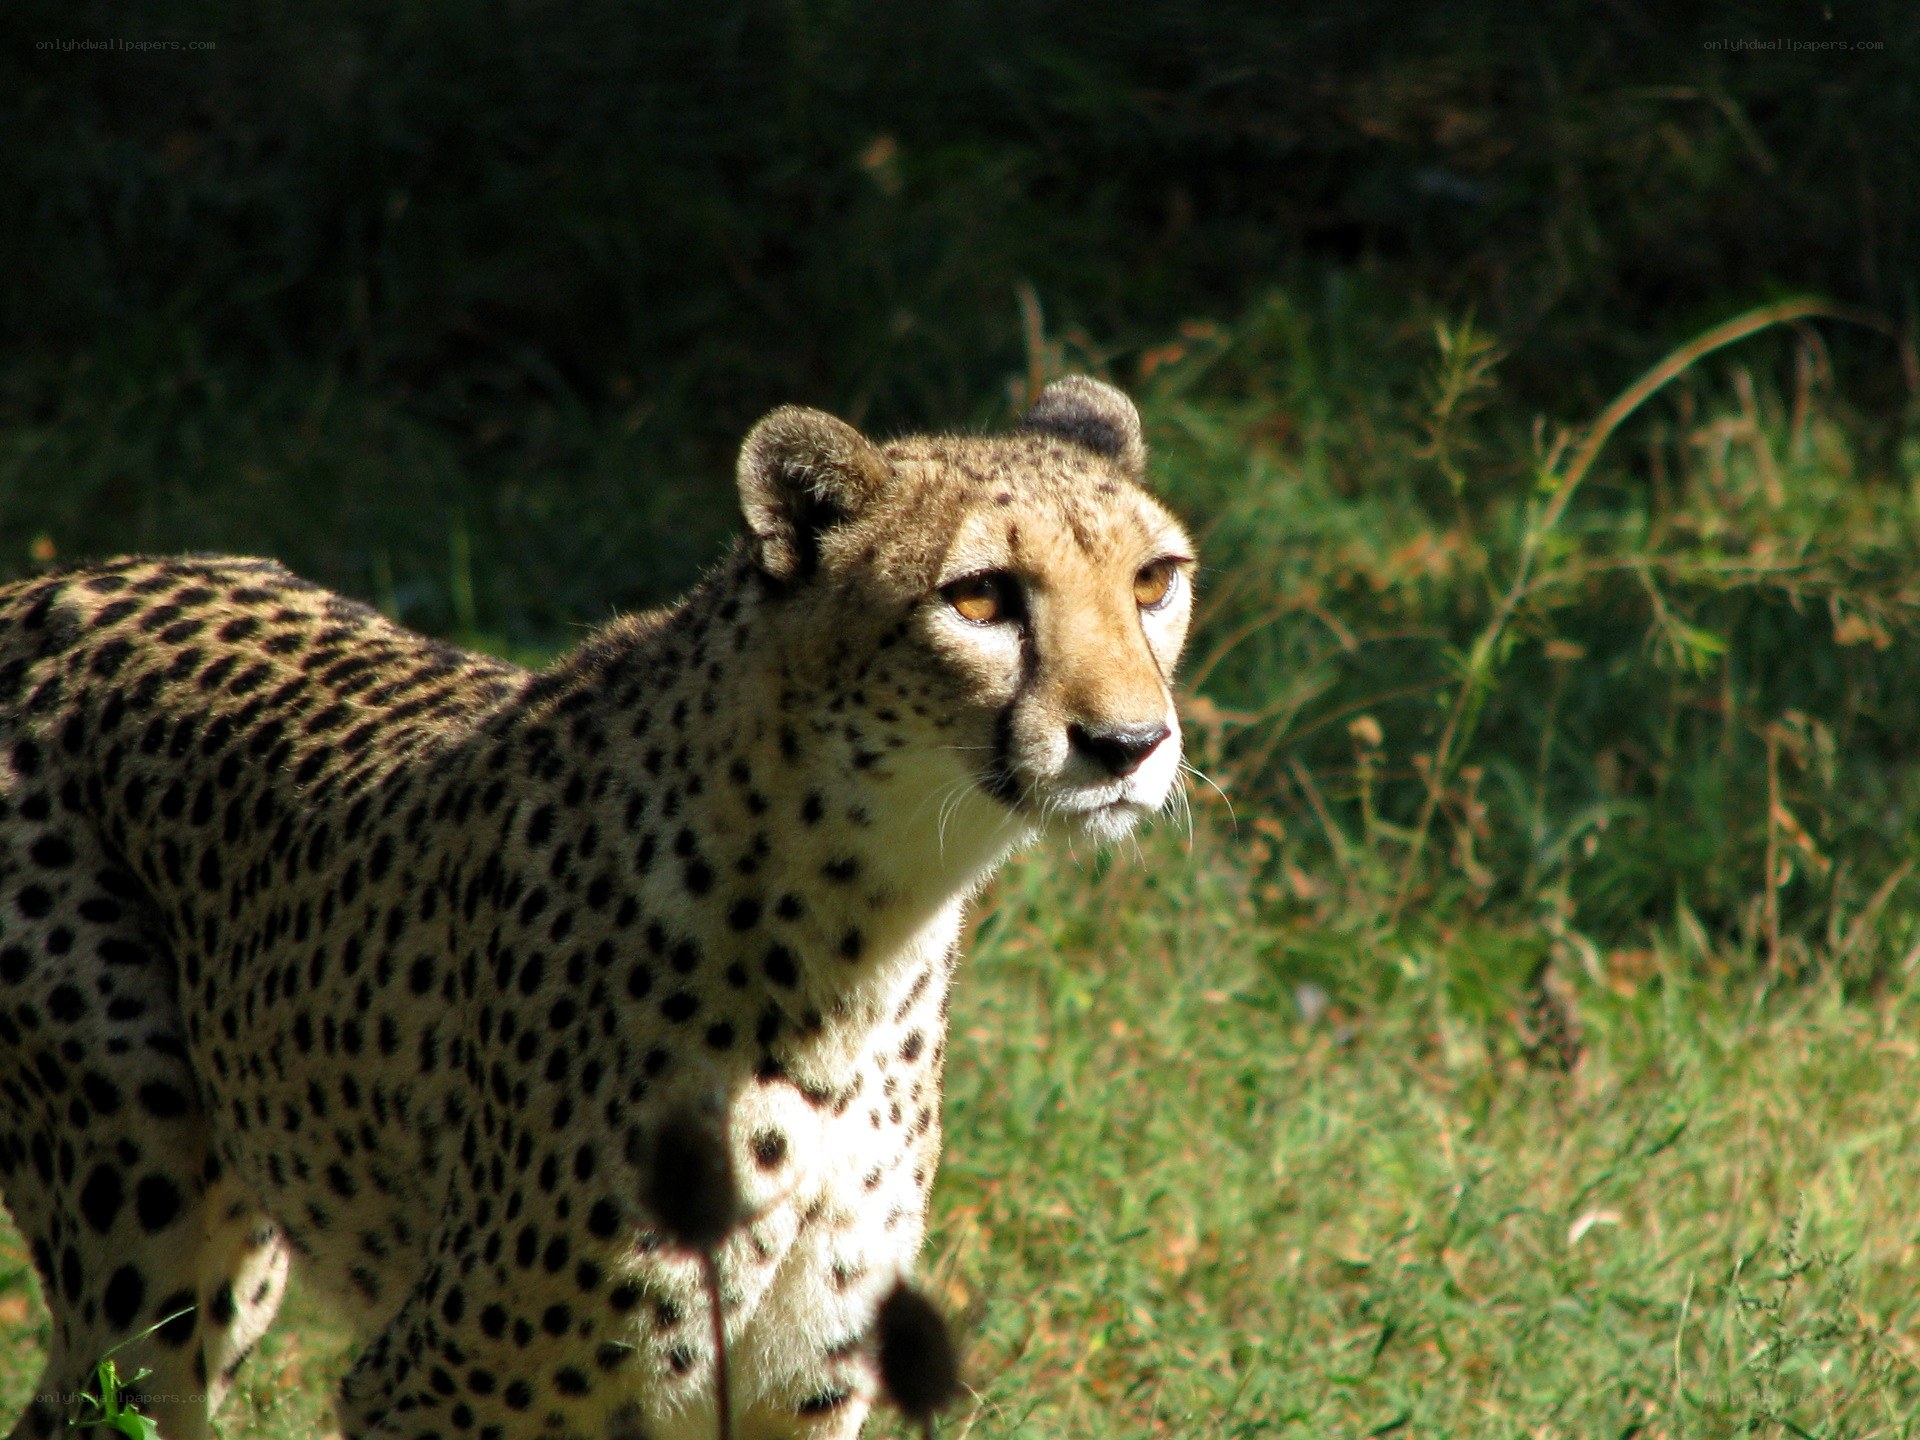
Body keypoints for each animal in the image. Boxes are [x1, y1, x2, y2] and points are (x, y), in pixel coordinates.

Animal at [0, 376, 1196, 1440]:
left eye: (1153, 581)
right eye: (980, 596)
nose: (1131, 743)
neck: (868, 925)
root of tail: (64, 583)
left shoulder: (792, 1391)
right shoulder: (438, 1385)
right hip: (148, 1260)